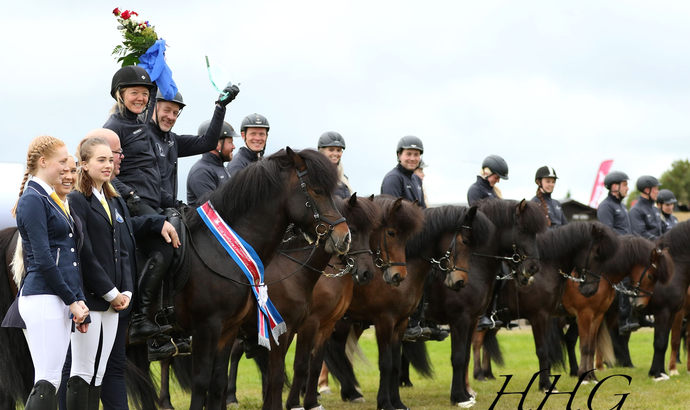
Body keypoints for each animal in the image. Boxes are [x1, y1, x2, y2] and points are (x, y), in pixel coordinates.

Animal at [142, 148, 352, 410]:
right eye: (317, 190)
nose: (345, 237)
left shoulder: (235, 329)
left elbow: (221, 381)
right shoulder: (209, 328)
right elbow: (208, 382)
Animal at [322, 203, 500, 410]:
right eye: (465, 241)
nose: (460, 282)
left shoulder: (404, 322)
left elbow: (396, 363)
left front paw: (397, 402)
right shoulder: (387, 321)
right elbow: (388, 363)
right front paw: (459, 396)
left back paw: (350, 392)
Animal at [470, 223, 620, 392]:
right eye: (597, 256)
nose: (591, 291)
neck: (546, 269)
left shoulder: (550, 316)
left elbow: (549, 348)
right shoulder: (540, 316)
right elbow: (542, 350)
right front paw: (546, 385)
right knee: (475, 342)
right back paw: (478, 377)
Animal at [560, 235, 672, 382]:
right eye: (650, 276)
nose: (641, 304)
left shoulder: (597, 315)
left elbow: (591, 347)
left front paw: (591, 377)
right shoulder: (584, 314)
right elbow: (584, 346)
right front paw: (584, 377)